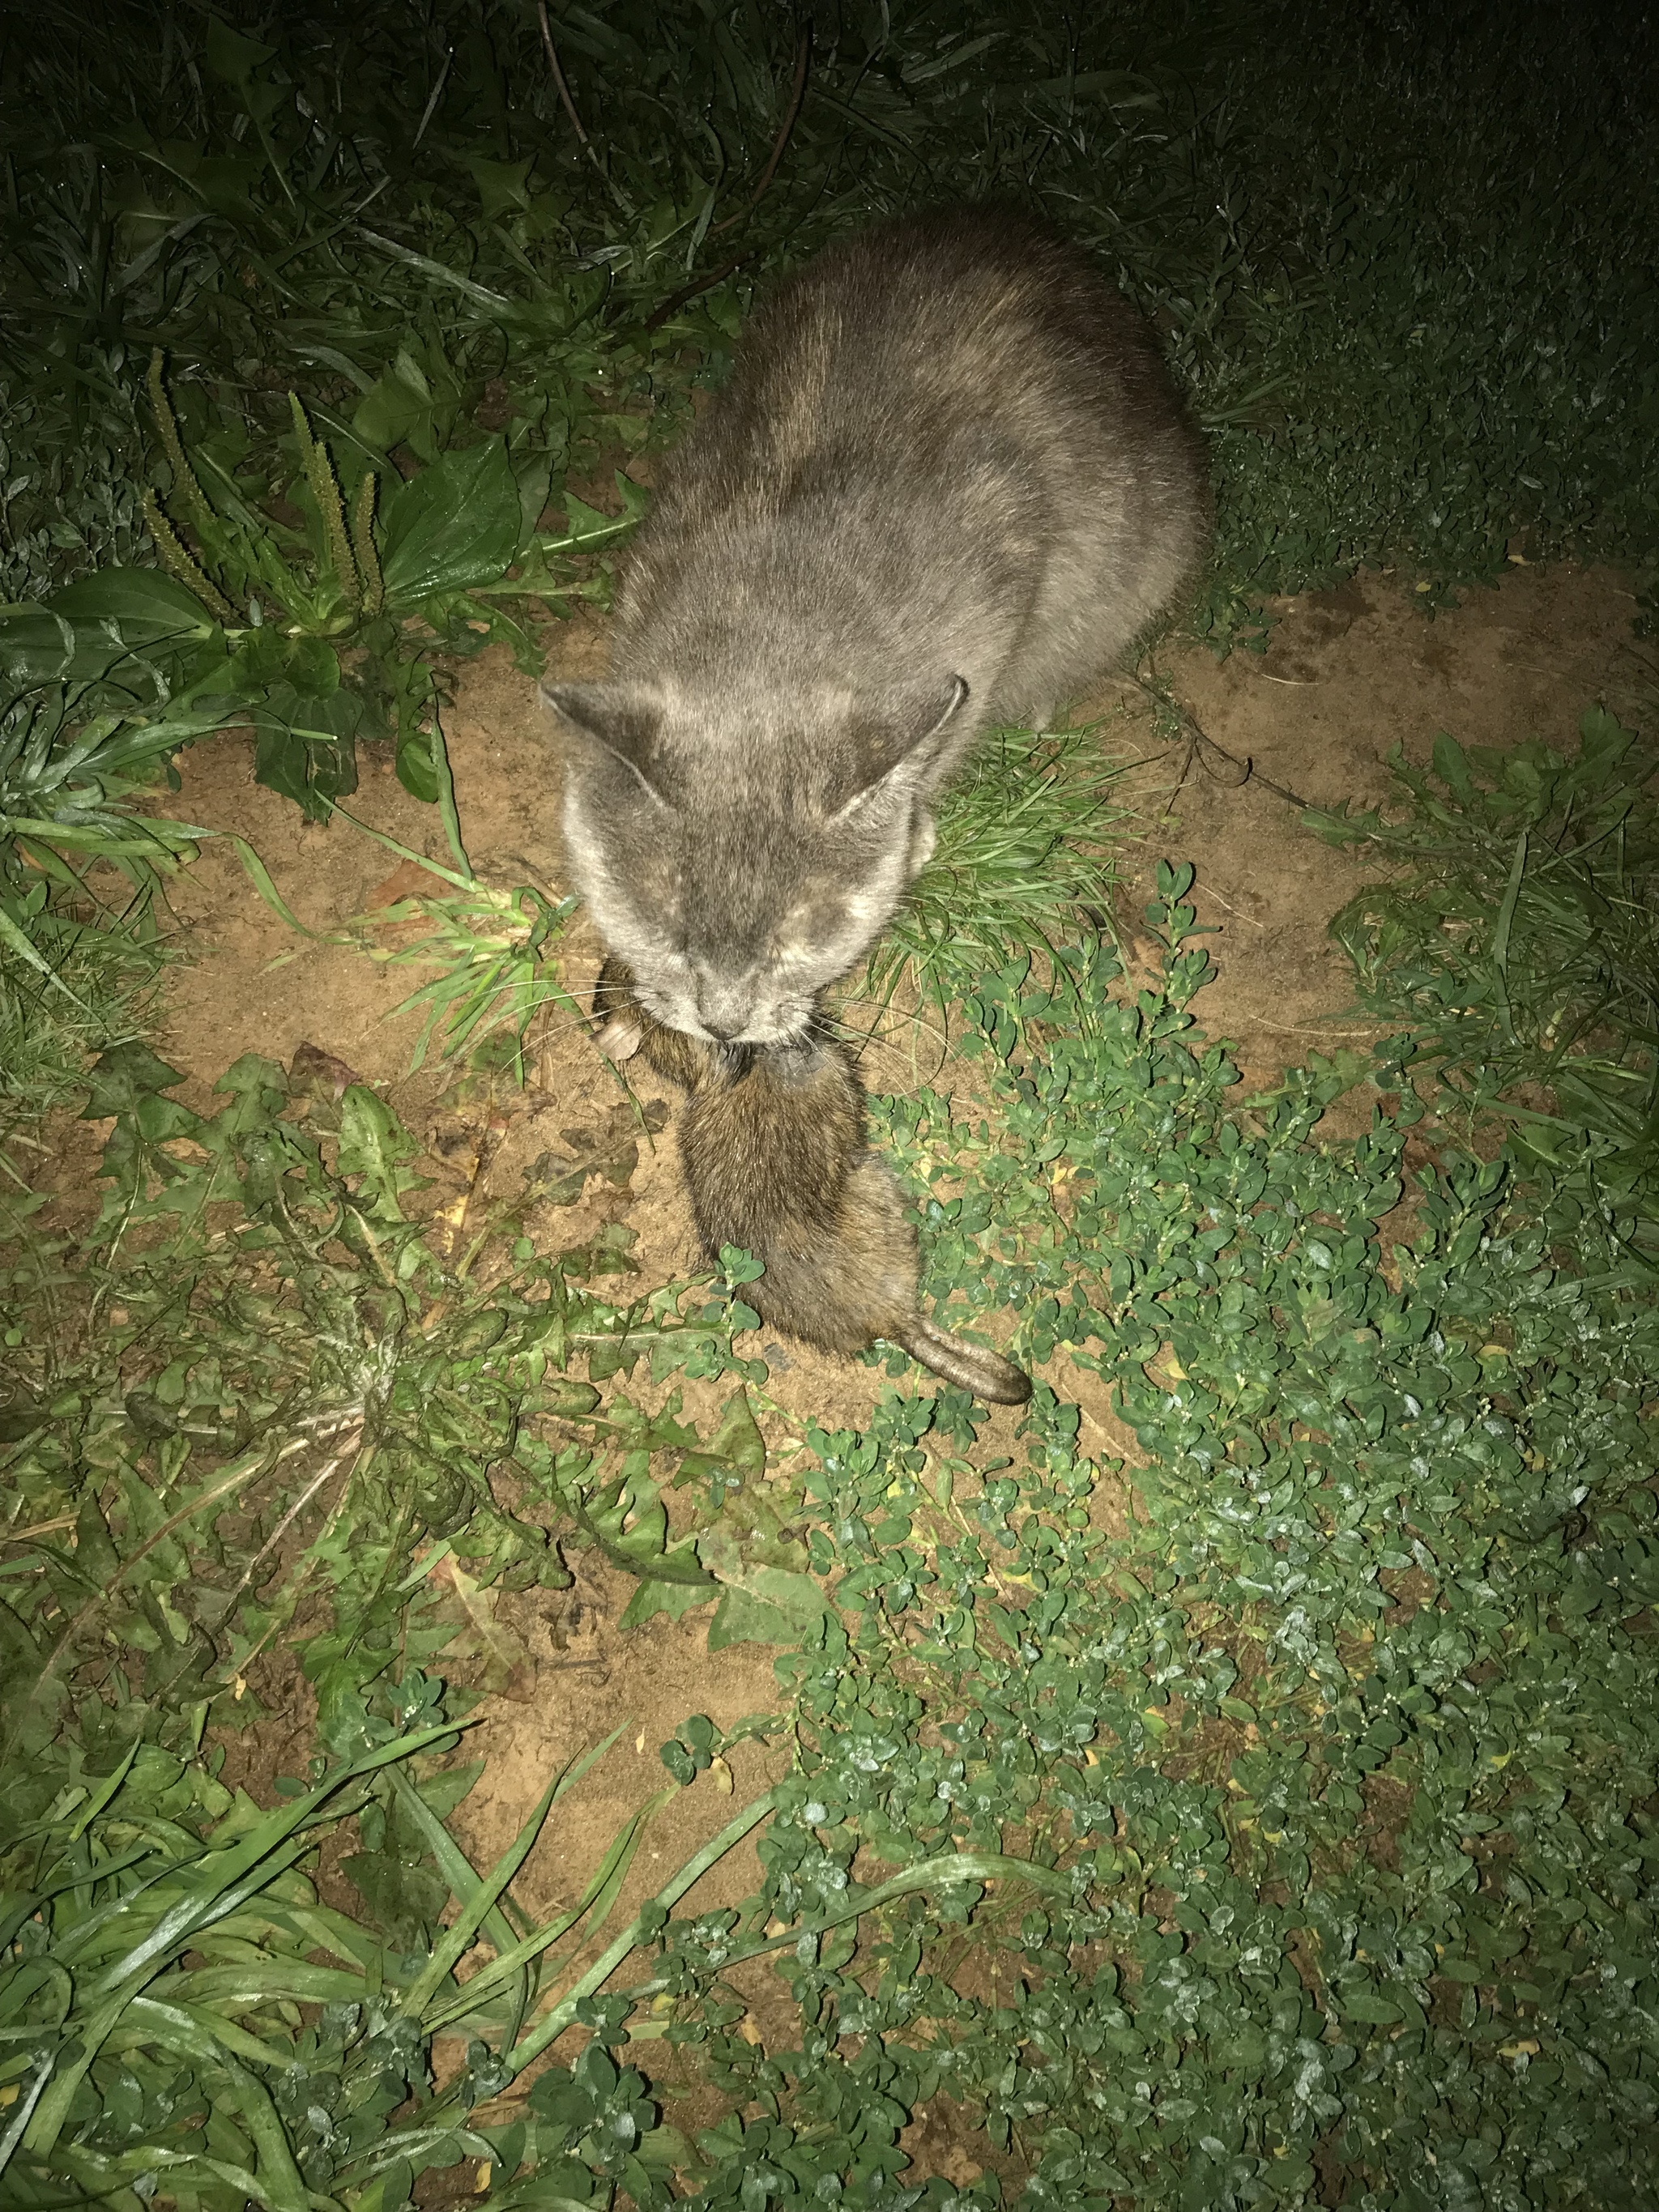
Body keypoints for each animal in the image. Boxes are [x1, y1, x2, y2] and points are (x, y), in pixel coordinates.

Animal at [546, 203, 1212, 1039]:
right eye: (665, 928)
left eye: (798, 936)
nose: (724, 1023)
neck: (772, 612)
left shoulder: (993, 614)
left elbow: (950, 735)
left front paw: (915, 830)